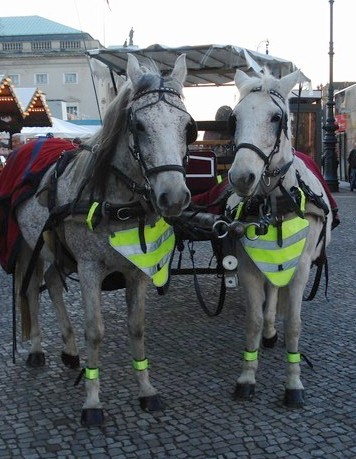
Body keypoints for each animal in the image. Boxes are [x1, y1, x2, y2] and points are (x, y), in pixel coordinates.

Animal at [11, 54, 196, 428]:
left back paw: (69, 349)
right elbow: (95, 331)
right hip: (28, 245)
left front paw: (146, 390)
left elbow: (137, 328)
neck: (115, 201)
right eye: (138, 126)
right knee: (31, 289)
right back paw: (37, 349)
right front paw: (93, 401)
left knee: (53, 283)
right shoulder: (89, 268)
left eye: (187, 127)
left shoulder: (137, 271)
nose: (173, 197)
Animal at [227, 67, 332, 406]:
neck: (273, 203)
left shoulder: (300, 268)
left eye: (276, 118)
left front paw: (293, 384)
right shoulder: (248, 265)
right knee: (271, 293)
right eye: (235, 118)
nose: (241, 177)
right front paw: (247, 377)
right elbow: (253, 320)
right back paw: (270, 332)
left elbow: (295, 325)